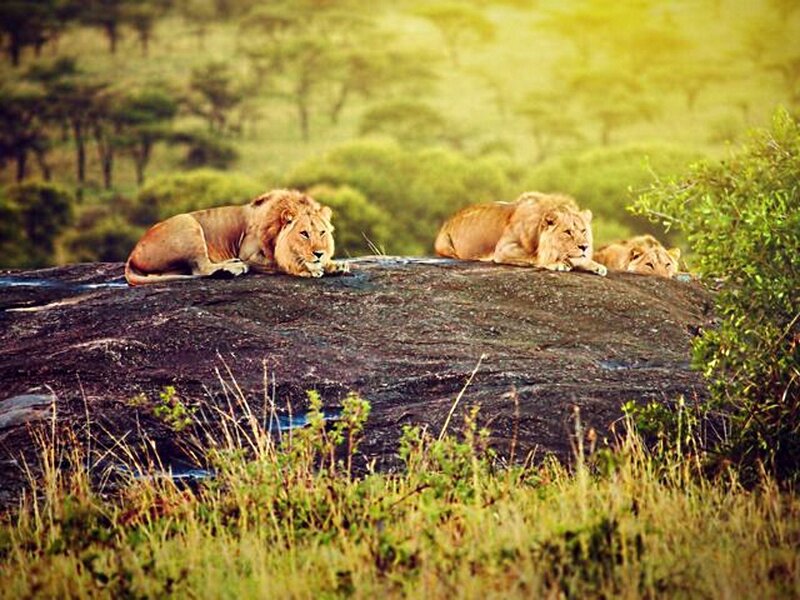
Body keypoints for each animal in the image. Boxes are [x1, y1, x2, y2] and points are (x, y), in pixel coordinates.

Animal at [124, 189, 349, 286]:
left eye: (322, 232)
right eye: (304, 233)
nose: (319, 253)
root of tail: (132, 253)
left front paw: (335, 265)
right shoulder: (248, 253)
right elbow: (279, 263)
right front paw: (310, 269)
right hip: (188, 224)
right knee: (200, 269)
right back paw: (233, 268)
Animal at [434, 191, 607, 276]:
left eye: (583, 231)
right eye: (568, 232)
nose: (584, 247)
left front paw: (596, 265)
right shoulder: (503, 248)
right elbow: (535, 256)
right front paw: (558, 263)